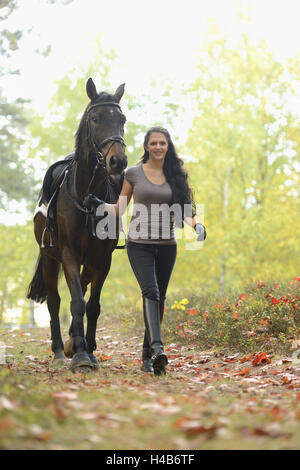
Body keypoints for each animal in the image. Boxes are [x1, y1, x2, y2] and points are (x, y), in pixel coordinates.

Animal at [26, 78, 127, 370]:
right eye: (95, 118)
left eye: (122, 120)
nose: (118, 161)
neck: (87, 195)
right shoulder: (69, 254)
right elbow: (77, 302)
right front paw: (81, 355)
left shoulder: (102, 259)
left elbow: (92, 305)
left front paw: (88, 349)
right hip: (51, 259)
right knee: (55, 301)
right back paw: (61, 350)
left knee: (81, 286)